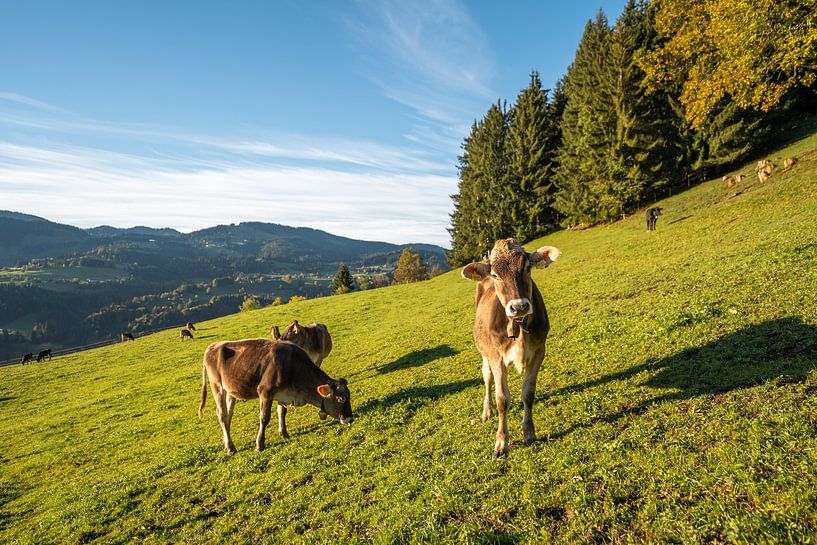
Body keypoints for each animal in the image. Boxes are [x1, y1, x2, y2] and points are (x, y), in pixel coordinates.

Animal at [198, 338, 353, 453]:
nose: (350, 419)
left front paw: (284, 433)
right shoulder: (265, 392)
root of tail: (212, 346)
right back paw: (230, 448)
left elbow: (282, 412)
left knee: (228, 415)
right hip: (217, 386)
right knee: (222, 414)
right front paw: (259, 444)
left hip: (231, 391)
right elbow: (264, 418)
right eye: (341, 399)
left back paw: (227, 443)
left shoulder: (283, 393)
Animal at [462, 238, 560, 456]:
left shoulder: (539, 351)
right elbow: (502, 400)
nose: (519, 306)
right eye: (495, 275)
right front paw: (501, 442)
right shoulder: (496, 357)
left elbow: (528, 393)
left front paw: (529, 433)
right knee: (487, 376)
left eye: (528, 268)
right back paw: (486, 411)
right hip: (484, 351)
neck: (519, 327)